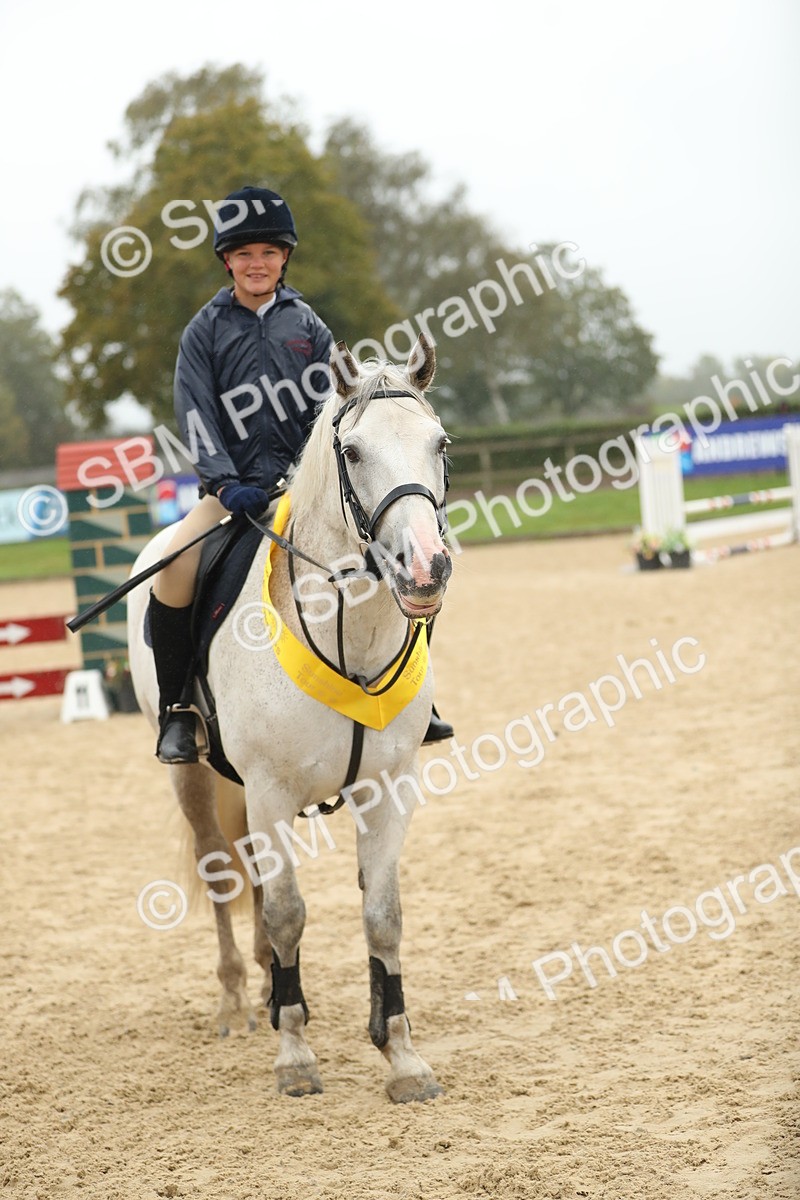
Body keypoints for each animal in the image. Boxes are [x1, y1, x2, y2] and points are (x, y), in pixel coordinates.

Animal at [128, 333, 453, 1103]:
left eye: (440, 444)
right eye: (354, 452)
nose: (426, 566)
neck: (349, 633)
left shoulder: (387, 789)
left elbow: (381, 914)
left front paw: (400, 1055)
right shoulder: (272, 790)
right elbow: (286, 911)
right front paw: (296, 1056)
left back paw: (272, 994)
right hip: (194, 778)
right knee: (223, 874)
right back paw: (238, 1003)